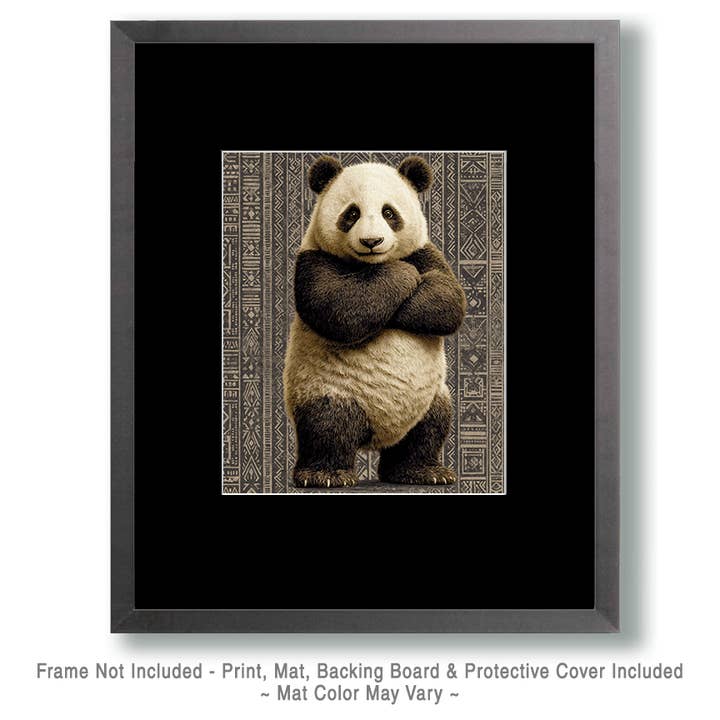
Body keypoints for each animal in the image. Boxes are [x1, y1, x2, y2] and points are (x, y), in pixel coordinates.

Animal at [283, 155, 467, 488]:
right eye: (352, 213)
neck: (369, 264)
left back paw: (423, 472)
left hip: (429, 398)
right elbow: (338, 308)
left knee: (429, 429)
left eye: (389, 212)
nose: (372, 241)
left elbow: (448, 300)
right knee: (326, 427)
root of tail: (378, 435)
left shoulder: (425, 252)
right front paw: (401, 274)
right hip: (326, 388)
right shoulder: (314, 259)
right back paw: (325, 475)